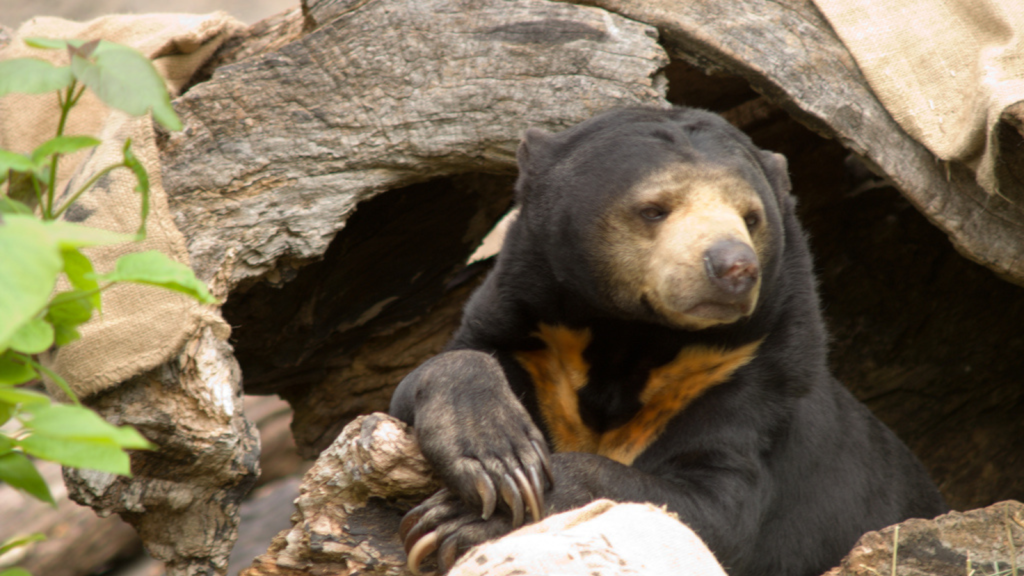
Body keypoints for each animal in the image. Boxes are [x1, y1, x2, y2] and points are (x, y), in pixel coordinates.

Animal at [389, 104, 942, 573]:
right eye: (654, 209)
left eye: (751, 217)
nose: (734, 266)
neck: (634, 339)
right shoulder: (532, 333)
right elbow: (437, 370)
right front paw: (498, 463)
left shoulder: (748, 379)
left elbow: (713, 509)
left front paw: (459, 521)